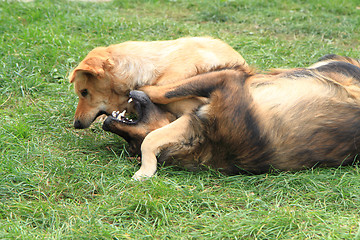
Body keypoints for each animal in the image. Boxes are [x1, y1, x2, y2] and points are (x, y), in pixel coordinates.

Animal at [101, 54, 360, 178]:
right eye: (130, 146)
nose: (105, 124)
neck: (199, 134)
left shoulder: (226, 80)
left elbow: (162, 91)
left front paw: (139, 87)